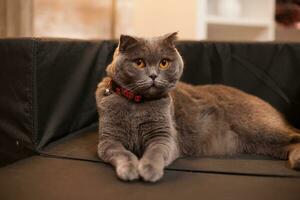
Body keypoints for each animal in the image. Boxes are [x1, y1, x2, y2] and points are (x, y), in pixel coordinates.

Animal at [95, 32, 300, 182]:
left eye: (164, 63)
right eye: (139, 62)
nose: (153, 75)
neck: (137, 105)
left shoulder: (165, 136)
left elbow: (155, 152)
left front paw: (148, 170)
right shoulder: (108, 140)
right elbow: (122, 153)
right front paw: (129, 170)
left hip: (260, 128)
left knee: (294, 136)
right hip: (262, 143)